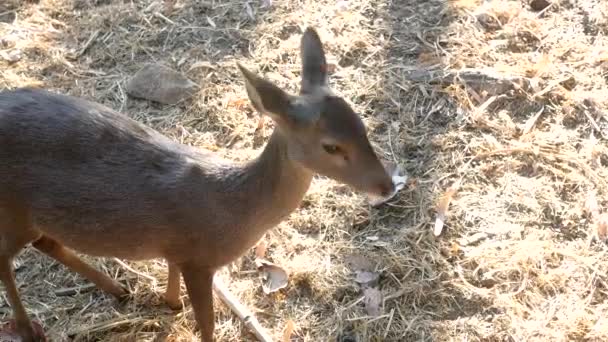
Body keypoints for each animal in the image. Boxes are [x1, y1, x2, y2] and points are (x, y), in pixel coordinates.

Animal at [0, 27, 394, 342]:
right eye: (331, 146)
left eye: (362, 125)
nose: (387, 186)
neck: (235, 206)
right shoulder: (199, 258)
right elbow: (206, 323)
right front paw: (180, 309)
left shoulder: (179, 248)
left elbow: (172, 277)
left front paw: (170, 302)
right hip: (11, 206)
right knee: (6, 256)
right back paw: (28, 328)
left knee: (46, 241)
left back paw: (119, 289)